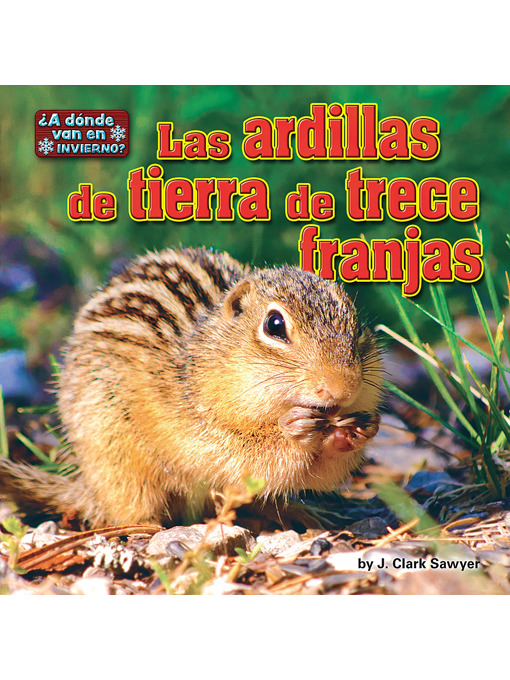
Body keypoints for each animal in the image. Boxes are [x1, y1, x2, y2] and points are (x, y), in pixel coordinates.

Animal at [0, 247, 383, 528]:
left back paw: (301, 512)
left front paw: (355, 432)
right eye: (274, 325)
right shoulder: (183, 415)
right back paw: (145, 529)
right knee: (127, 508)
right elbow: (229, 451)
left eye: (358, 324)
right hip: (114, 455)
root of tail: (86, 487)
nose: (342, 389)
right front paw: (293, 430)